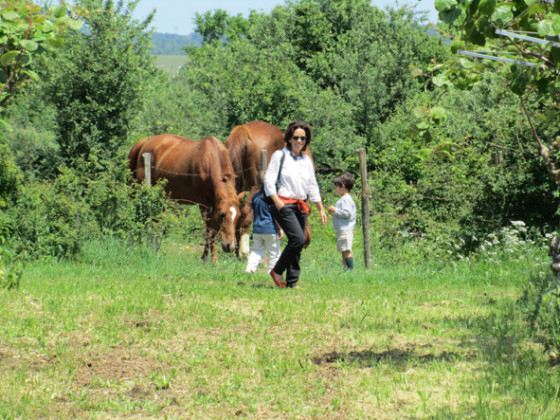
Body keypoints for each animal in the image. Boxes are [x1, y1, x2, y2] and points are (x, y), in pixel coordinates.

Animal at [225, 118, 312, 256]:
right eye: (308, 213)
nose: (307, 240)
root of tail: (243, 130)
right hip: (255, 186)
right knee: (246, 211)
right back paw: (244, 251)